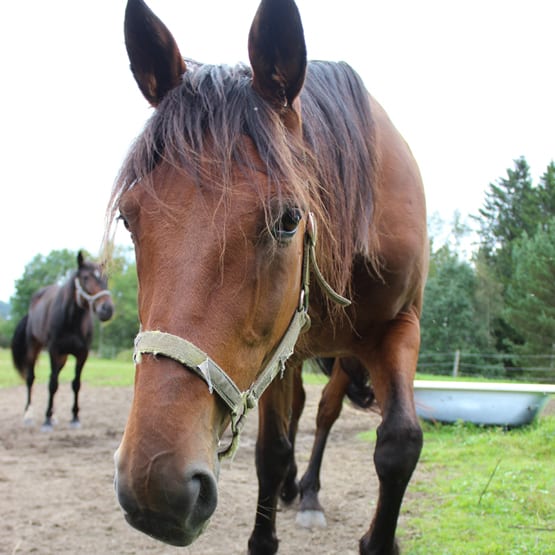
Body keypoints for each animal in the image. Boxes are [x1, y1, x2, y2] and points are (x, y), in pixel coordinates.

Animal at [11, 251, 114, 430]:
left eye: (106, 278)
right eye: (85, 277)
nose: (106, 309)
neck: (72, 321)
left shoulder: (82, 354)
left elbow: (76, 384)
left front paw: (74, 417)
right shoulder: (54, 350)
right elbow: (52, 384)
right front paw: (46, 420)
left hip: (63, 357)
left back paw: (53, 415)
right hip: (35, 348)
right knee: (31, 379)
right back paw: (29, 415)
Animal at [109, 1, 430, 555]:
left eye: (288, 220)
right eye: (130, 220)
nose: (154, 484)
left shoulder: (399, 326)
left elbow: (400, 443)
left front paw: (377, 537)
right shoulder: (279, 351)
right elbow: (272, 451)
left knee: (323, 414)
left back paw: (310, 495)